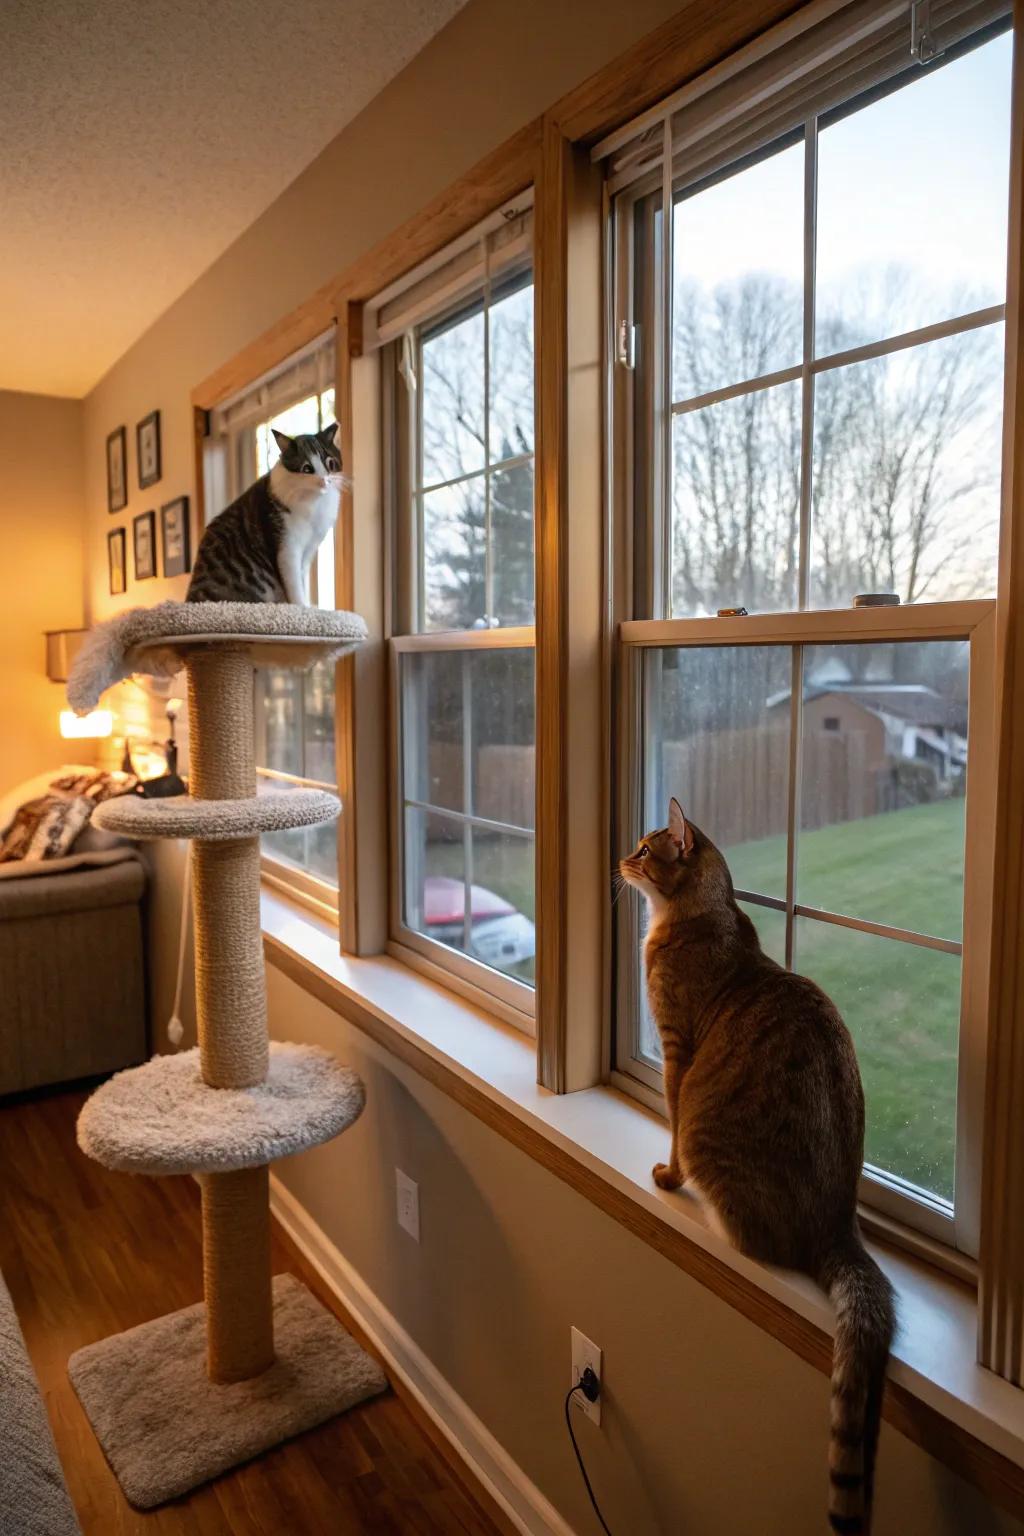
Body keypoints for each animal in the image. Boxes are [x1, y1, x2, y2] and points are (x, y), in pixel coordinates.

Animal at [186, 427, 342, 611]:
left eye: (330, 463)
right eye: (307, 469)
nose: (325, 481)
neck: (315, 502)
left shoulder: (309, 549)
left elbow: (302, 579)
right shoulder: (287, 547)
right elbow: (294, 585)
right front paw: (302, 608)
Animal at [620, 804, 890, 1536]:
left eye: (645, 850)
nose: (620, 856)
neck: (692, 919)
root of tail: (839, 1226)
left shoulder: (676, 1053)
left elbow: (672, 1119)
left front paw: (668, 1174)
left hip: (716, 1145)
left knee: (750, 1234)